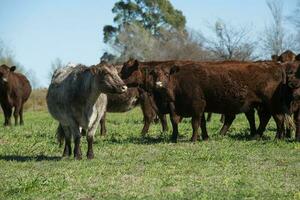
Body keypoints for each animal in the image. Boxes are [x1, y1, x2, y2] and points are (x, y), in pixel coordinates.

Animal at [150, 61, 300, 142]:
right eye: (155, 74)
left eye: (167, 74)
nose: (158, 84)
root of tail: (274, 65)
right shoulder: (197, 108)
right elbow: (201, 123)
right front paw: (205, 137)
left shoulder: (197, 105)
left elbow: (195, 123)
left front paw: (193, 139)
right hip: (263, 105)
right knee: (265, 119)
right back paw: (256, 136)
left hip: (272, 104)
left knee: (278, 119)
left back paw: (277, 138)